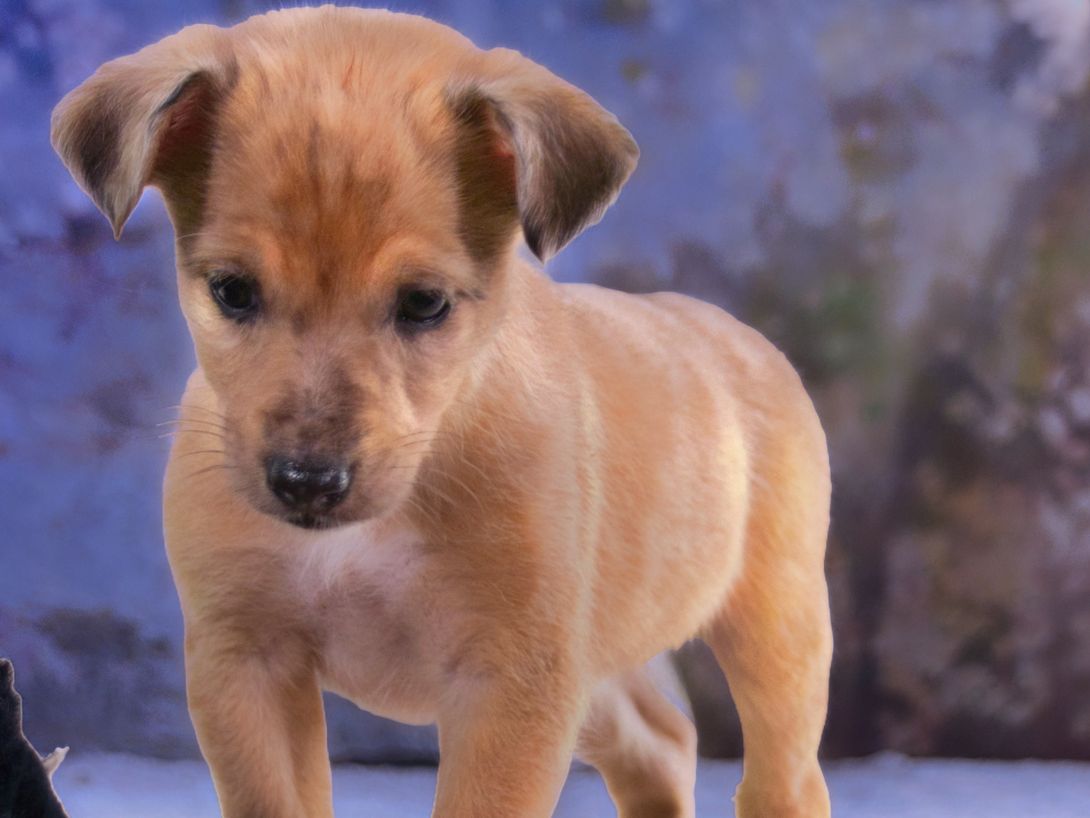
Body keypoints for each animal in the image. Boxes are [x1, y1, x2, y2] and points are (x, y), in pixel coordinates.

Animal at [50, 7, 833, 817]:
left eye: (424, 303)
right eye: (232, 290)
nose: (307, 483)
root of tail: (738, 334)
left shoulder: (511, 682)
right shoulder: (247, 664)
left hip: (776, 630)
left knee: (783, 776)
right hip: (597, 672)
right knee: (663, 741)